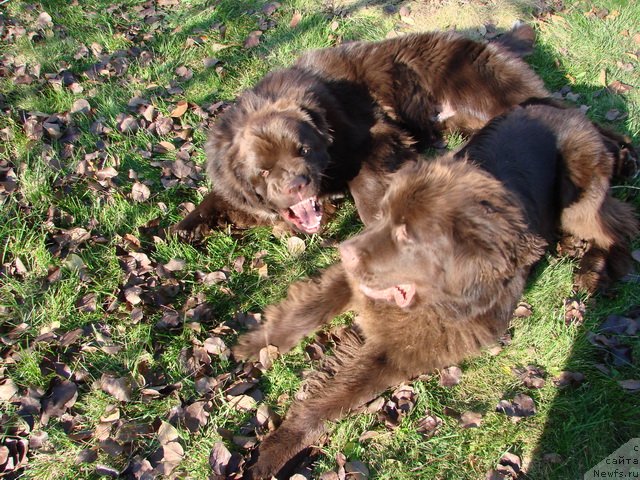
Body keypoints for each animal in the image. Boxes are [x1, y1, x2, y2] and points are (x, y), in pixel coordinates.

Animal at [175, 25, 552, 234]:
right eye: (263, 171)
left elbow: (365, 188)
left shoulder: (377, 134)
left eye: (304, 151)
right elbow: (220, 198)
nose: (298, 184)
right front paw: (183, 229)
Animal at [230, 104, 636, 476]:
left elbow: (334, 397)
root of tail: (575, 114)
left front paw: (275, 450)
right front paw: (255, 344)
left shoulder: (403, 354)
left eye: (407, 234)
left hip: (578, 200)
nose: (345, 252)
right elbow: (308, 310)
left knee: (618, 223)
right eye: (383, 215)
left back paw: (595, 272)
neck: (435, 301)